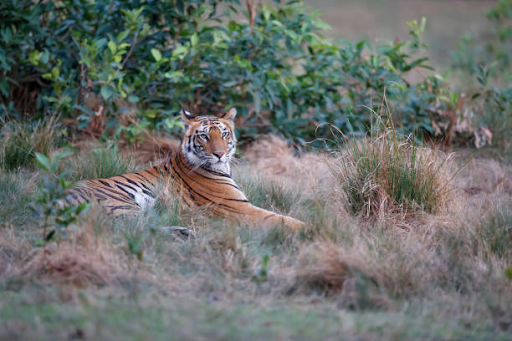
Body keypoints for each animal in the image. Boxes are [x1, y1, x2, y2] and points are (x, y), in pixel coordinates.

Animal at [63, 106, 304, 230]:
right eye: (204, 136)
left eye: (224, 134)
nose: (219, 154)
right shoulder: (239, 208)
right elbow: (280, 219)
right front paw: (309, 229)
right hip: (120, 205)